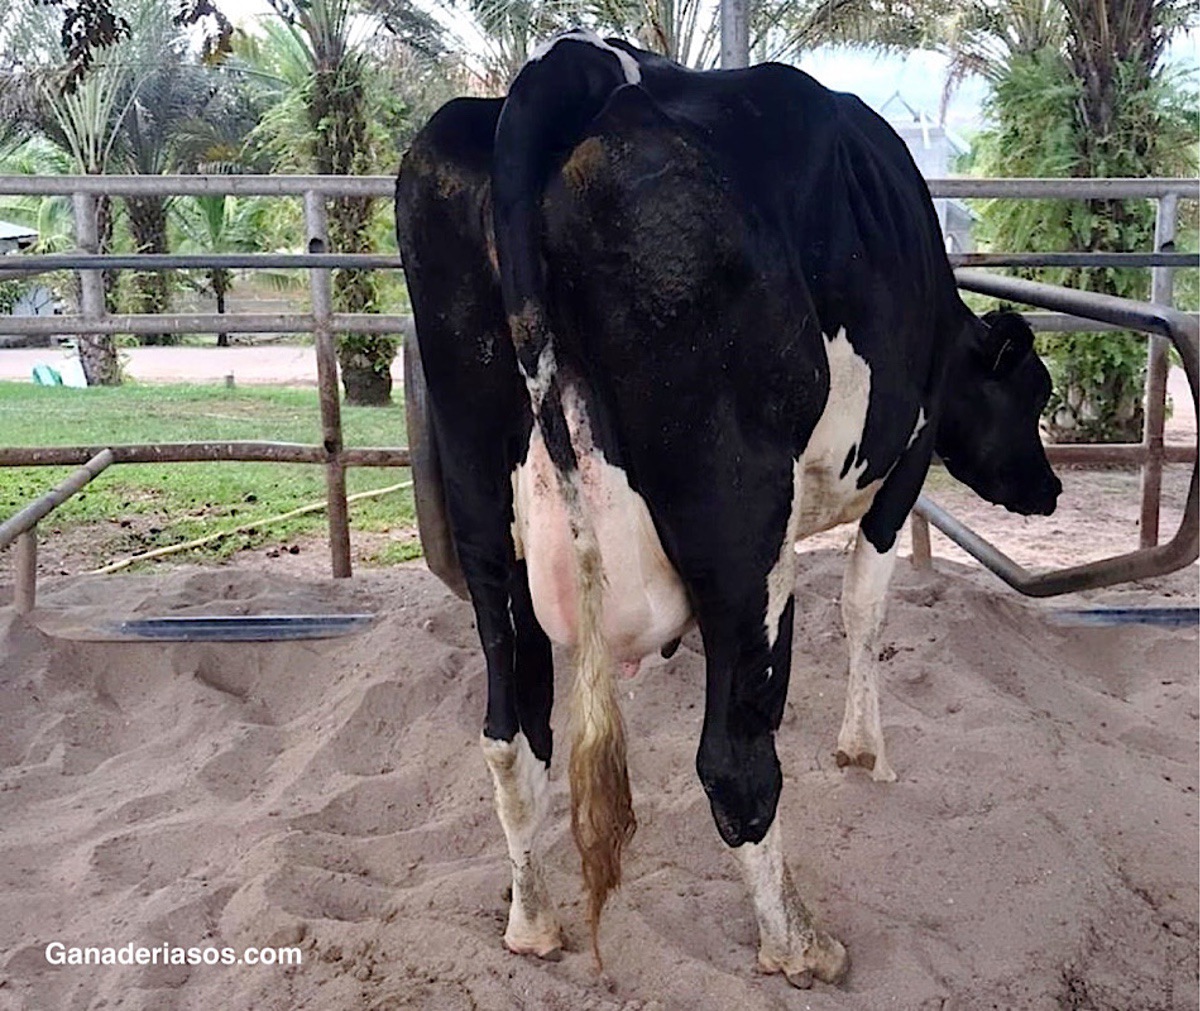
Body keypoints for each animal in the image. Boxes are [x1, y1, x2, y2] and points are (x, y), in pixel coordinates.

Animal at [395, 29, 1061, 988]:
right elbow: (864, 605)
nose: (1051, 490)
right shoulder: (905, 461)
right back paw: (797, 942)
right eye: (1036, 394)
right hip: (743, 528)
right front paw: (865, 750)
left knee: (510, 737)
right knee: (736, 761)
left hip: (487, 518)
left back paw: (532, 922)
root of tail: (566, 66)